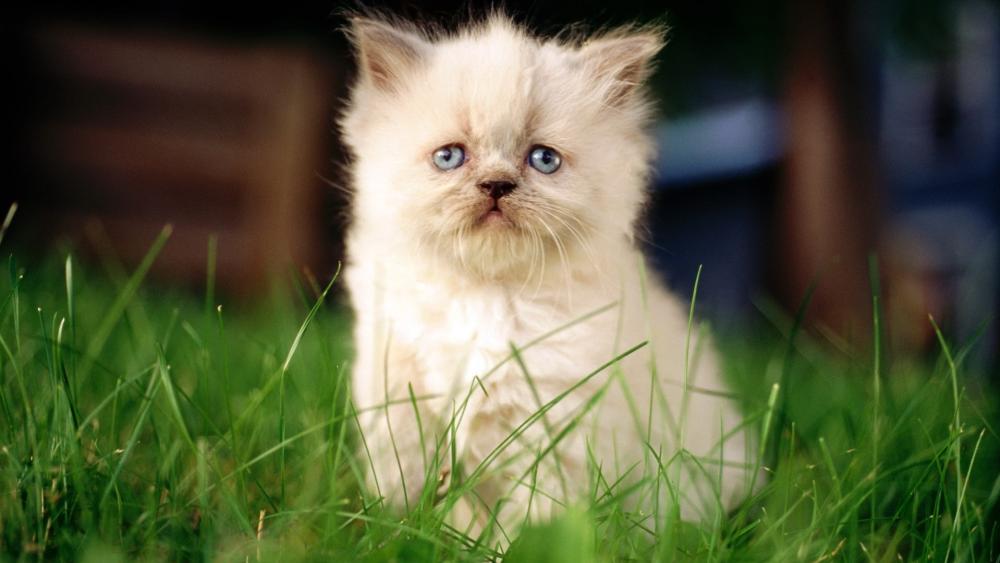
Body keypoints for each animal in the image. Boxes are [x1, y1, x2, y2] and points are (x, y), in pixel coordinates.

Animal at [340, 12, 752, 532]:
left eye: (544, 159)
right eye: (450, 157)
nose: (497, 185)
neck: (485, 296)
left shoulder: (556, 425)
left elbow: (532, 519)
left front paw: (500, 543)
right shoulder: (400, 402)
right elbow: (407, 495)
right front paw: (404, 532)